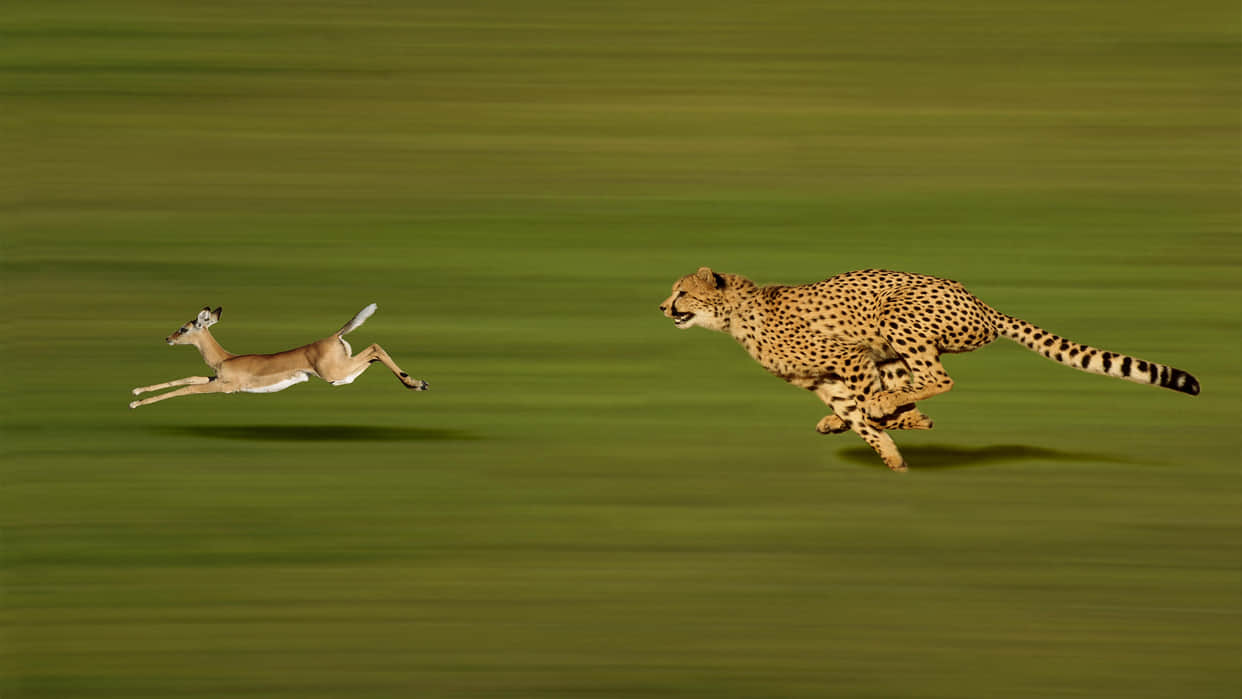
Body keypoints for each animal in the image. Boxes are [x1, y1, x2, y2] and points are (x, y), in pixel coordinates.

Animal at [659, 267, 1200, 472]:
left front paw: (892, 441)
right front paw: (894, 441)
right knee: (916, 383)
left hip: (896, 314)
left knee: (939, 378)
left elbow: (865, 409)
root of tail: (982, 303)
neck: (736, 314)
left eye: (682, 291)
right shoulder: (827, 378)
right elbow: (858, 414)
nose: (663, 307)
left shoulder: (848, 357)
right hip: (894, 347)